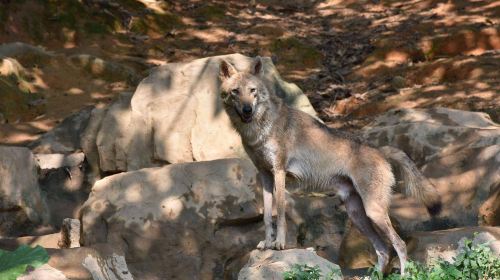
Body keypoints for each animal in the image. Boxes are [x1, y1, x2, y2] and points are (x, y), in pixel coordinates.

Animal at [217, 56, 440, 274]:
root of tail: (380, 150)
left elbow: (279, 214)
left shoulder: (279, 172)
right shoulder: (264, 174)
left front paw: (279, 244)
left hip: (373, 212)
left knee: (399, 245)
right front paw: (267, 243)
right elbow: (266, 215)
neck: (259, 130)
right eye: (236, 92)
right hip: (358, 216)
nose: (247, 109)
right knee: (384, 249)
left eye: (252, 91)